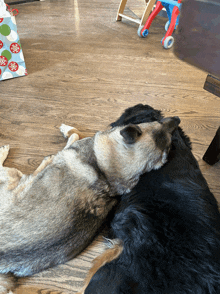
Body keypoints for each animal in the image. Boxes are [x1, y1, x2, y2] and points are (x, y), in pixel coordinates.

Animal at [0, 116, 180, 292]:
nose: (177, 119)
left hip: (13, 176)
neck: (105, 171)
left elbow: (75, 134)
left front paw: (66, 131)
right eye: (158, 122)